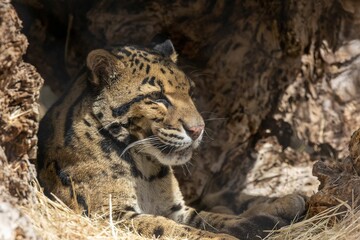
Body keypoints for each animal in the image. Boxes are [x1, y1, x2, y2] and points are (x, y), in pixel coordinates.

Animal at [37, 40, 306, 239]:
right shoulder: (109, 214)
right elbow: (171, 228)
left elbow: (210, 218)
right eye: (158, 97)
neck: (144, 167)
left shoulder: (176, 209)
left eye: (190, 92)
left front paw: (255, 222)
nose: (198, 129)